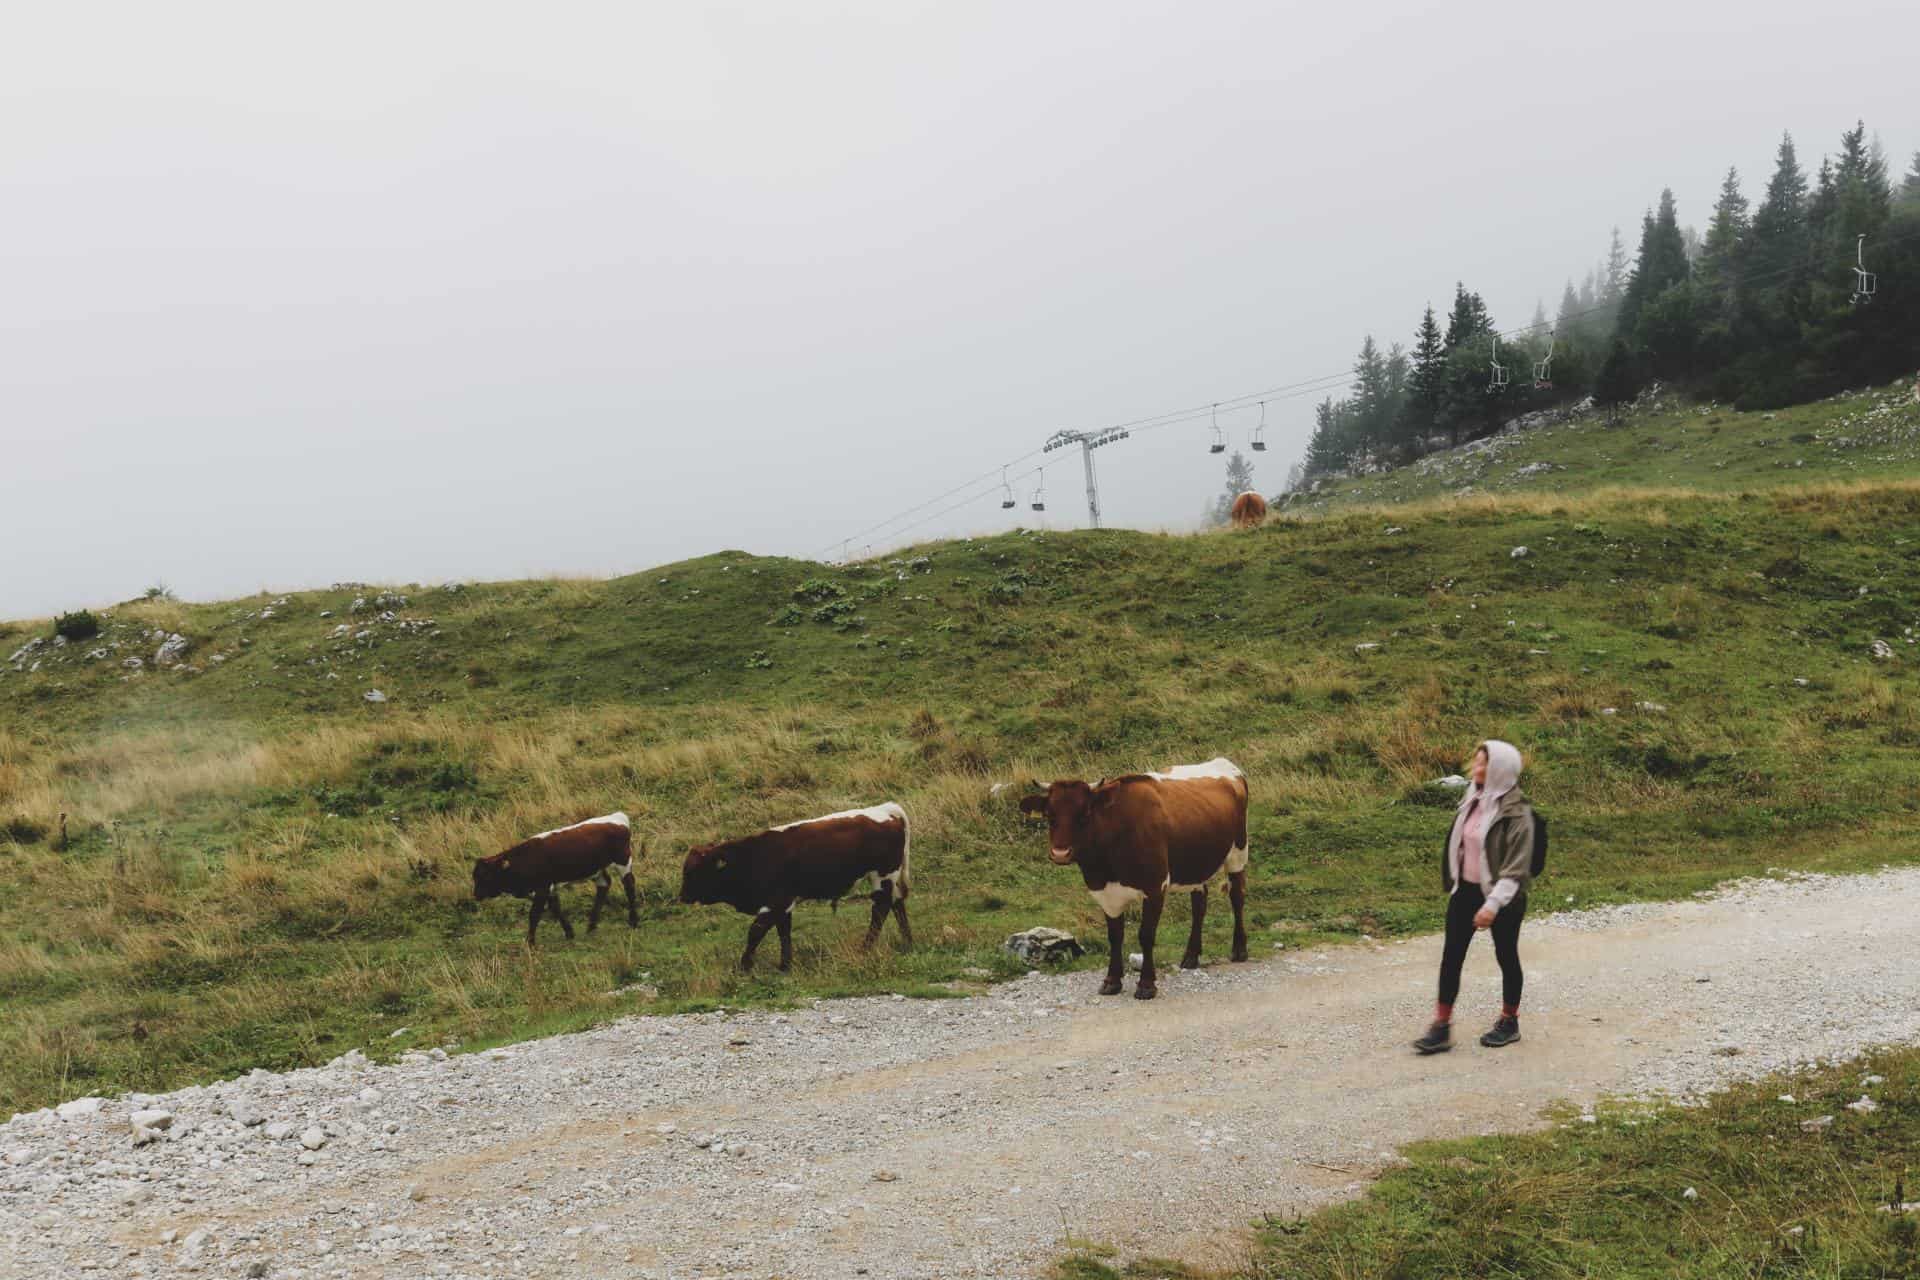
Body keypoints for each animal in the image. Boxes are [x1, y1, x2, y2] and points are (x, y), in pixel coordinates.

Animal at [470, 817, 637, 948]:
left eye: (486, 875)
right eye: (475, 876)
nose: (476, 894)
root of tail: (618, 818)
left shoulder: (542, 887)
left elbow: (534, 914)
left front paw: (530, 942)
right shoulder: (548, 888)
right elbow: (556, 908)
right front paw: (569, 933)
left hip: (622, 860)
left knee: (629, 885)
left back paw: (633, 922)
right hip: (596, 869)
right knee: (604, 885)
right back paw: (591, 927)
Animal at [679, 805, 910, 974]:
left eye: (694, 871)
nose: (682, 896)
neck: (752, 857)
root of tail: (887, 810)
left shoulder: (775, 902)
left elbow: (755, 932)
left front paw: (744, 967)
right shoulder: (784, 905)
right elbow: (784, 932)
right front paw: (785, 965)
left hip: (882, 876)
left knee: (881, 908)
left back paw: (866, 948)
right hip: (890, 878)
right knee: (897, 903)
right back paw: (907, 941)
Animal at [1013, 759, 1251, 997]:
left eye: (1085, 814)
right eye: (1049, 815)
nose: (1060, 853)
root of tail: (1224, 763)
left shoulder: (1155, 887)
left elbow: (1146, 935)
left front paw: (1146, 984)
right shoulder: (1105, 892)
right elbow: (1115, 936)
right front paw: (1112, 980)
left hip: (1238, 853)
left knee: (1237, 897)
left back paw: (1239, 950)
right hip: (1196, 865)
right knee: (1199, 904)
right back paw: (1191, 956)